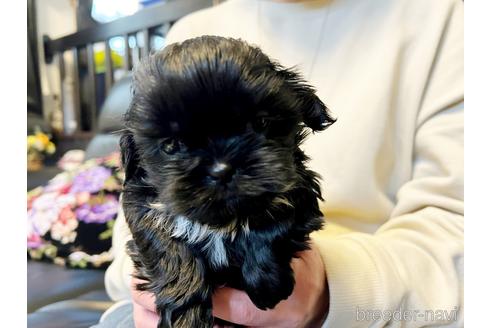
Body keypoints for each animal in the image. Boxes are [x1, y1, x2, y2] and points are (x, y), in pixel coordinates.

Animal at [119, 36, 334, 328]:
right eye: (171, 145)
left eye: (261, 122)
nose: (221, 170)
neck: (221, 220)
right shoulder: (141, 205)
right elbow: (166, 245)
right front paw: (187, 314)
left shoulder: (299, 188)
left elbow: (273, 222)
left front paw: (267, 282)